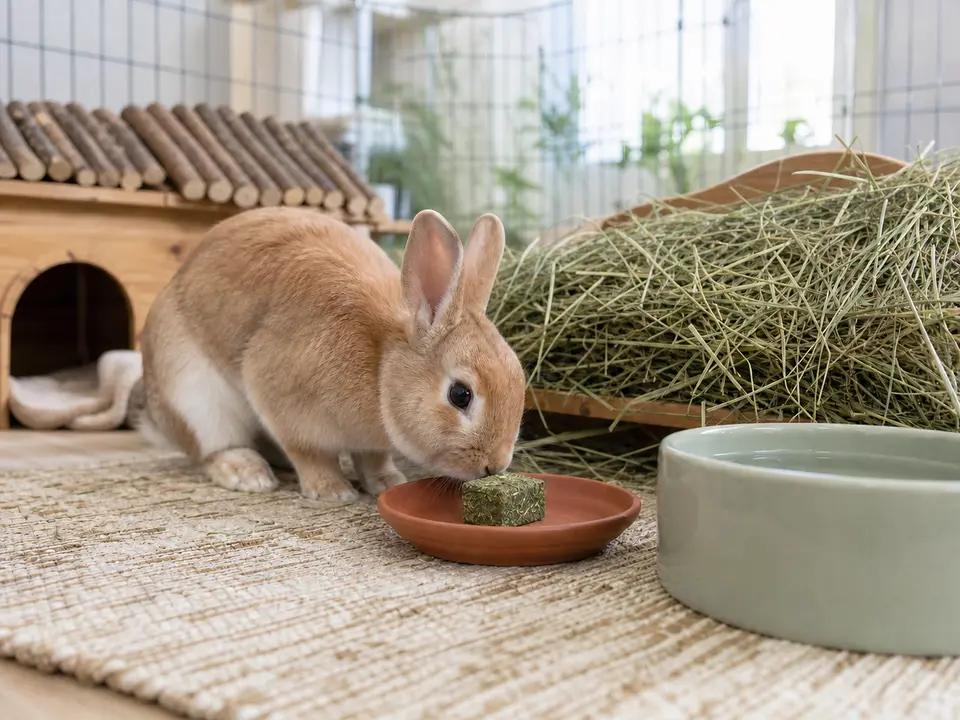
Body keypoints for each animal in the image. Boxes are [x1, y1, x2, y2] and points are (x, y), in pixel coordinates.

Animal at [136, 206, 526, 502]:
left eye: (520, 377)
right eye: (460, 395)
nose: (495, 465)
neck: (380, 369)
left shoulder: (371, 443)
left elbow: (373, 458)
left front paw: (387, 482)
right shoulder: (279, 398)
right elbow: (308, 453)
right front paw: (332, 491)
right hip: (194, 396)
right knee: (213, 447)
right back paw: (248, 473)